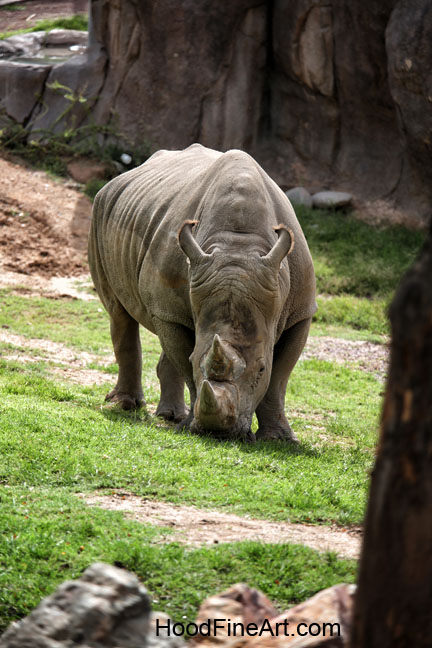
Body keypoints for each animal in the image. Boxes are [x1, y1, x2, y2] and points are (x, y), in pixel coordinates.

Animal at [88, 144, 316, 443]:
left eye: (260, 370)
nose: (219, 434)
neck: (239, 244)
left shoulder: (300, 312)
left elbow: (278, 378)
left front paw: (280, 439)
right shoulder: (168, 309)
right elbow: (186, 361)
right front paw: (190, 425)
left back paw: (169, 416)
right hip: (99, 213)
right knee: (119, 313)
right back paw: (127, 406)